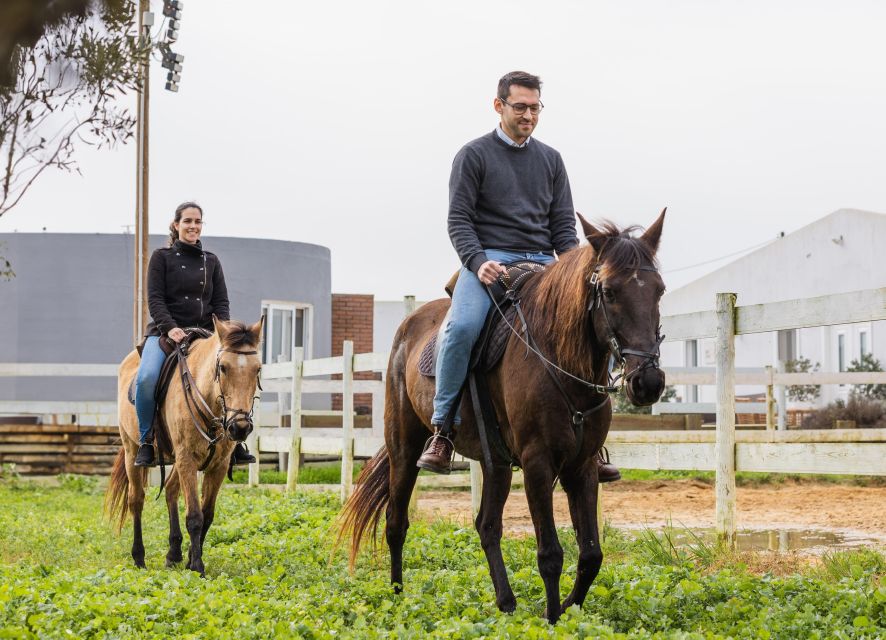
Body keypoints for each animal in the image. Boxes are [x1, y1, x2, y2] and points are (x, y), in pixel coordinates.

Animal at [105, 316, 264, 576]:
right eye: (223, 367)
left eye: (257, 369)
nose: (240, 428)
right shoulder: (187, 459)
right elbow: (195, 516)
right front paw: (197, 567)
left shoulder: (218, 466)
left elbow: (207, 515)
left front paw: (190, 559)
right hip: (132, 452)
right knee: (136, 500)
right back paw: (139, 558)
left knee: (170, 491)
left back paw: (173, 553)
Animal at [340, 212, 664, 624]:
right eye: (607, 292)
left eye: (659, 290)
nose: (648, 382)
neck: (556, 359)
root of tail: (408, 327)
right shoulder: (538, 463)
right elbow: (550, 554)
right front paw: (552, 619)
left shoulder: (583, 465)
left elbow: (591, 553)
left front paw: (569, 608)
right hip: (405, 449)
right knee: (396, 522)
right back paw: (398, 598)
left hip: (495, 463)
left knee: (487, 526)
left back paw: (506, 602)